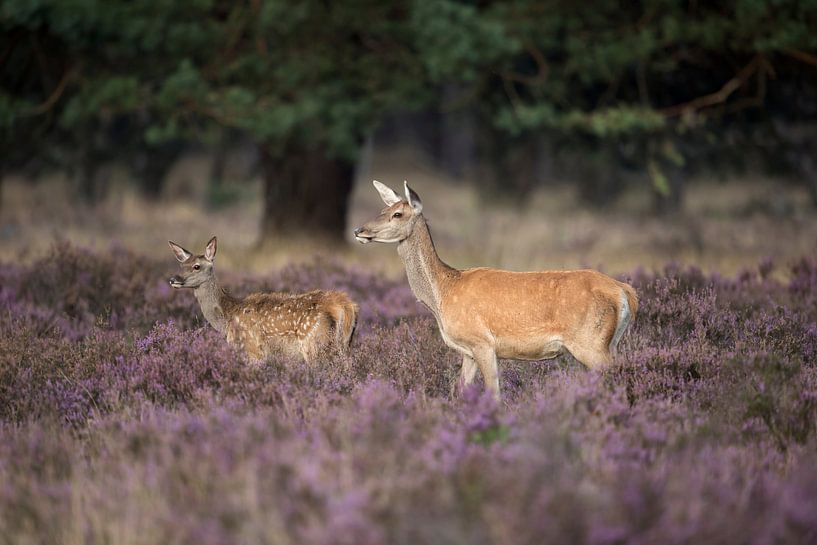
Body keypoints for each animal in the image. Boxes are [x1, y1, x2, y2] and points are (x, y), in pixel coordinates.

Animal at [168, 236, 358, 362]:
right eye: (181, 265)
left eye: (196, 266)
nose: (173, 279)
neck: (227, 319)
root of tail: (345, 305)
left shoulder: (252, 349)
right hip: (344, 343)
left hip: (313, 341)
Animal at [354, 180, 638, 400]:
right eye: (383, 208)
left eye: (398, 214)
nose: (359, 230)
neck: (442, 294)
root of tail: (625, 291)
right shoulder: (467, 351)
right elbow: (459, 390)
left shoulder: (483, 342)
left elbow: (493, 393)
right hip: (610, 342)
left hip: (590, 341)